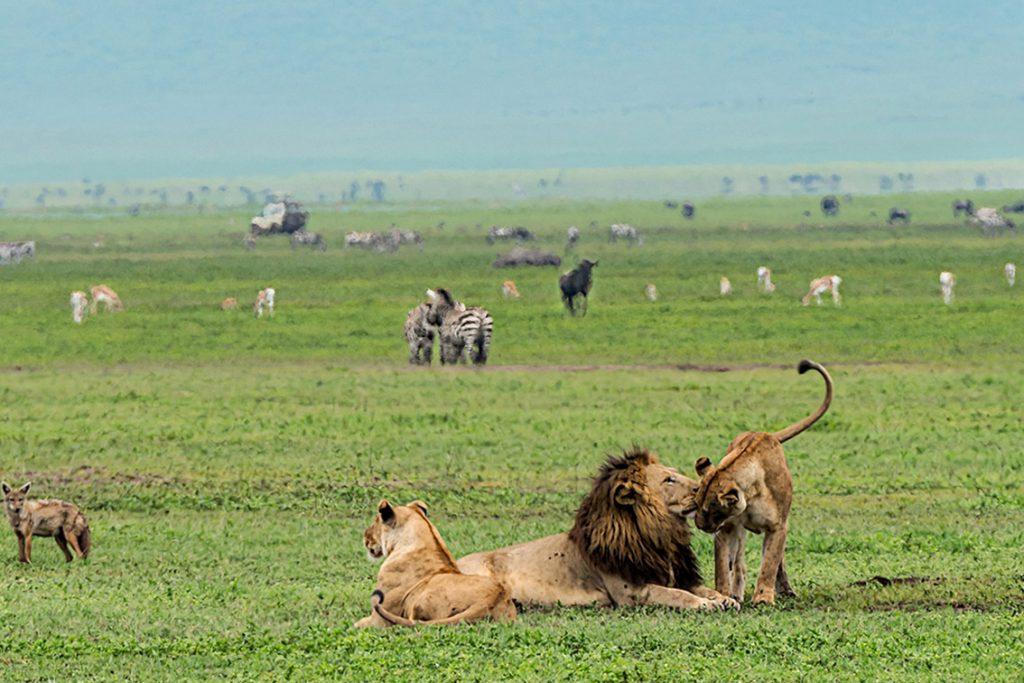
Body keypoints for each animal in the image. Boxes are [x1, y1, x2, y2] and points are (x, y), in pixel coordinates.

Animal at [354, 499, 516, 626]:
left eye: (376, 521)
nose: (364, 537)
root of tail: (492, 597)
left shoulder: (378, 620)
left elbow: (357, 624)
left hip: (420, 600)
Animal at [456, 448, 737, 614]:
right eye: (669, 480)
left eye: (676, 474)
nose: (701, 489)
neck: (660, 535)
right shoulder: (631, 593)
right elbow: (676, 594)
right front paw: (705, 604)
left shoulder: (680, 574)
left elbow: (702, 588)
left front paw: (724, 598)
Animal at [696, 360, 831, 606]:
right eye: (696, 504)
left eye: (711, 510)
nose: (700, 526)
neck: (751, 494)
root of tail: (767, 433)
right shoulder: (727, 528)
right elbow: (723, 567)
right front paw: (724, 595)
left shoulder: (778, 525)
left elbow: (769, 562)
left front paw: (763, 598)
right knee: (739, 562)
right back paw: (737, 592)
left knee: (777, 560)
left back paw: (785, 590)